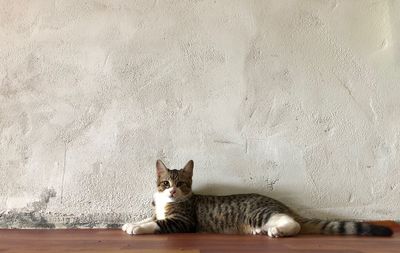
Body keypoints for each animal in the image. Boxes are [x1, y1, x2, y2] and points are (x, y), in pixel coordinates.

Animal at [120, 160, 392, 237]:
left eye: (182, 184)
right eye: (166, 183)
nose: (173, 192)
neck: (166, 204)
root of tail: (283, 204)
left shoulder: (184, 222)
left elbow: (158, 223)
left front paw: (137, 228)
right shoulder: (158, 210)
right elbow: (149, 217)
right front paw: (131, 223)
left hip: (258, 212)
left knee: (294, 224)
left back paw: (279, 231)